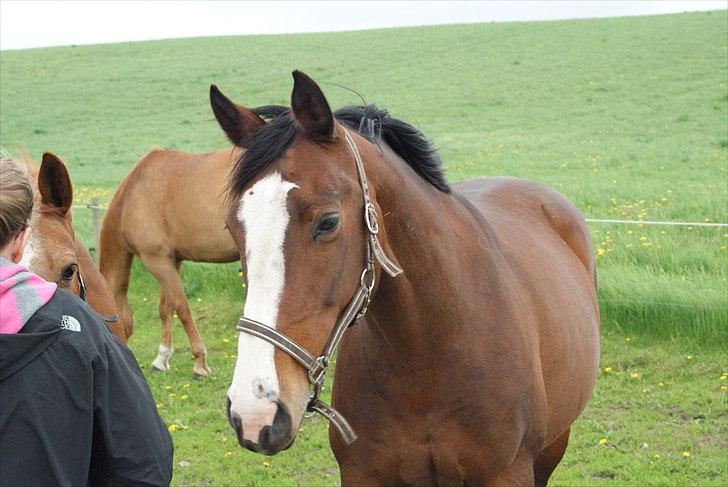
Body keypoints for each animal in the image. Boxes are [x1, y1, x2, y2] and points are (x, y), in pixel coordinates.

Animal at [96, 149, 237, 378]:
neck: (131, 196)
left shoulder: (156, 259)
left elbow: (182, 308)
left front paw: (200, 363)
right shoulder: (171, 260)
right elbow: (165, 307)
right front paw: (161, 359)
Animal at [210, 70, 596, 486]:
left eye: (327, 222)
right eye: (231, 227)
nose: (254, 411)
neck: (427, 355)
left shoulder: (508, 473)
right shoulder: (362, 474)